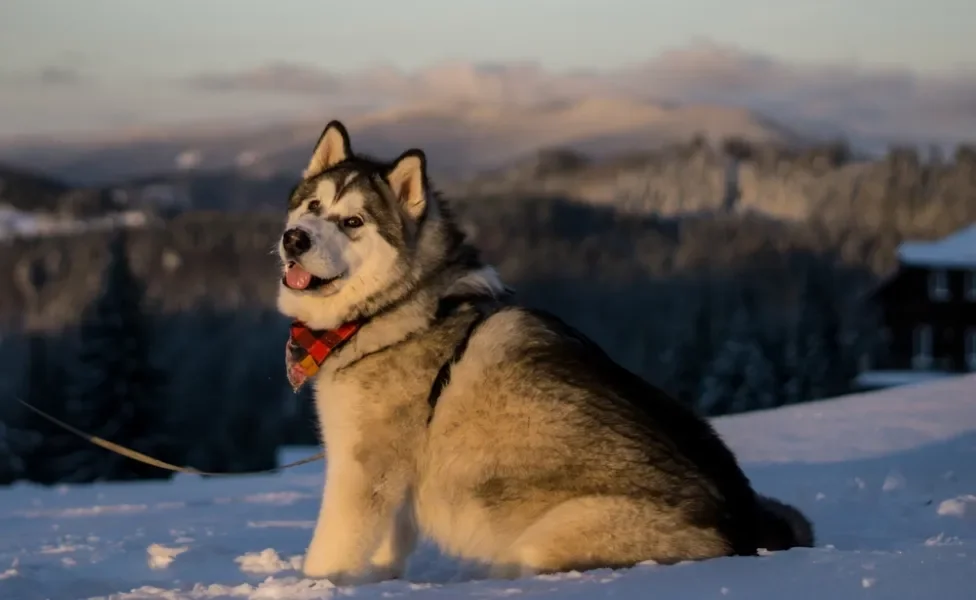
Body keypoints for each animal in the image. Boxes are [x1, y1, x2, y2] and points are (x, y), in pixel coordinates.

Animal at [272, 119, 808, 584]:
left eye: (353, 221)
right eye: (312, 206)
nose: (293, 239)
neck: (396, 307)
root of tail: (743, 527)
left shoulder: (364, 470)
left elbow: (330, 551)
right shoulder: (390, 482)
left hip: (548, 537)